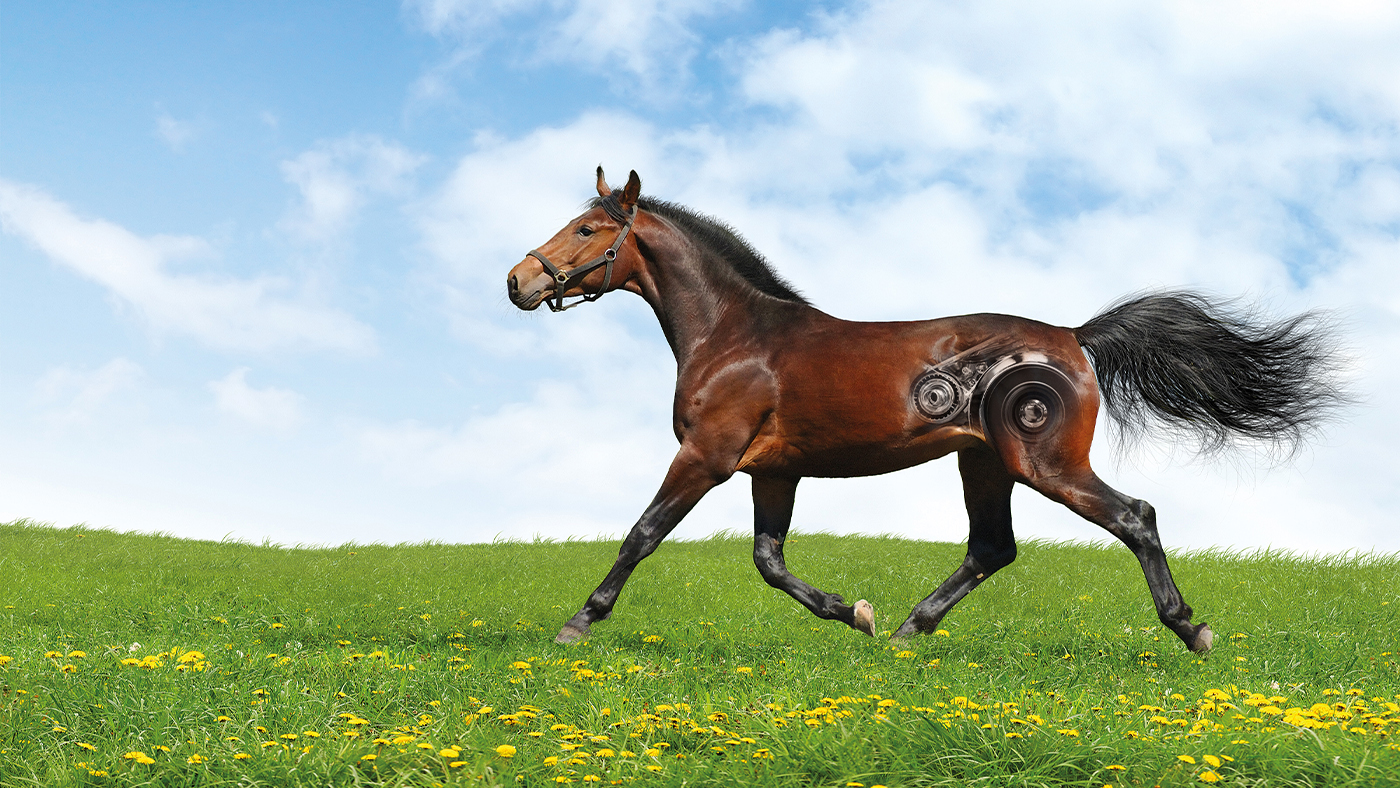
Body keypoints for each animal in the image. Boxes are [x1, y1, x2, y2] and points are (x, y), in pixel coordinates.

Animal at [505, 167, 1343, 652]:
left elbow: (642, 534)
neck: (737, 336)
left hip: (1043, 460)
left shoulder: (705, 457)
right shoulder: (771, 472)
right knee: (992, 548)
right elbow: (769, 561)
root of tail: (1075, 338)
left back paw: (1191, 629)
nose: (517, 280)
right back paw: (909, 627)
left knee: (1133, 516)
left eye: (587, 229)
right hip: (985, 464)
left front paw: (577, 624)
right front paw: (854, 613)